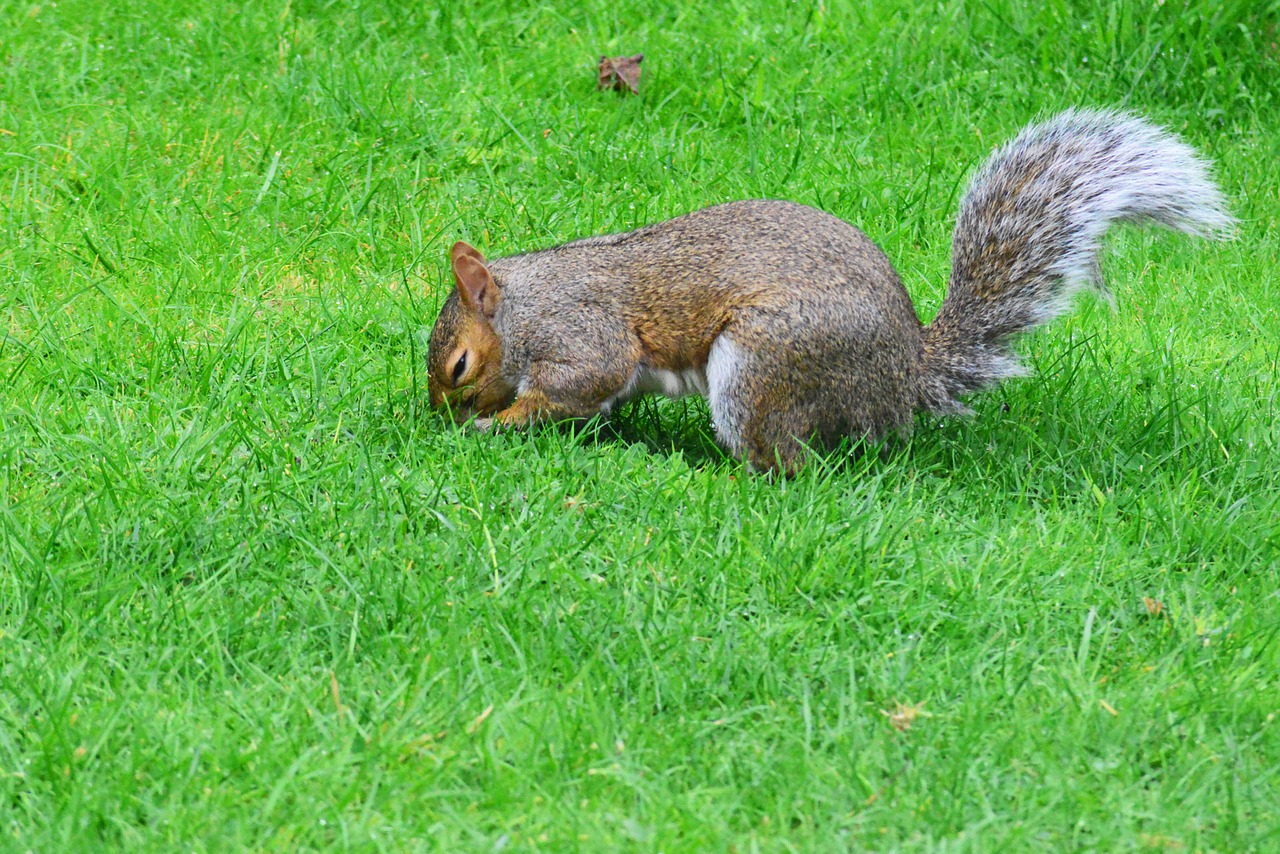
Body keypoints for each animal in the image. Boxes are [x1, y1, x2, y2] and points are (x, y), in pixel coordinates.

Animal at [427, 109, 1228, 471]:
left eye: (459, 366)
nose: (435, 419)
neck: (526, 303)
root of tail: (903, 377)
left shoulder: (579, 335)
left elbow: (578, 381)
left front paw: (496, 424)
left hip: (764, 364)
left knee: (786, 463)